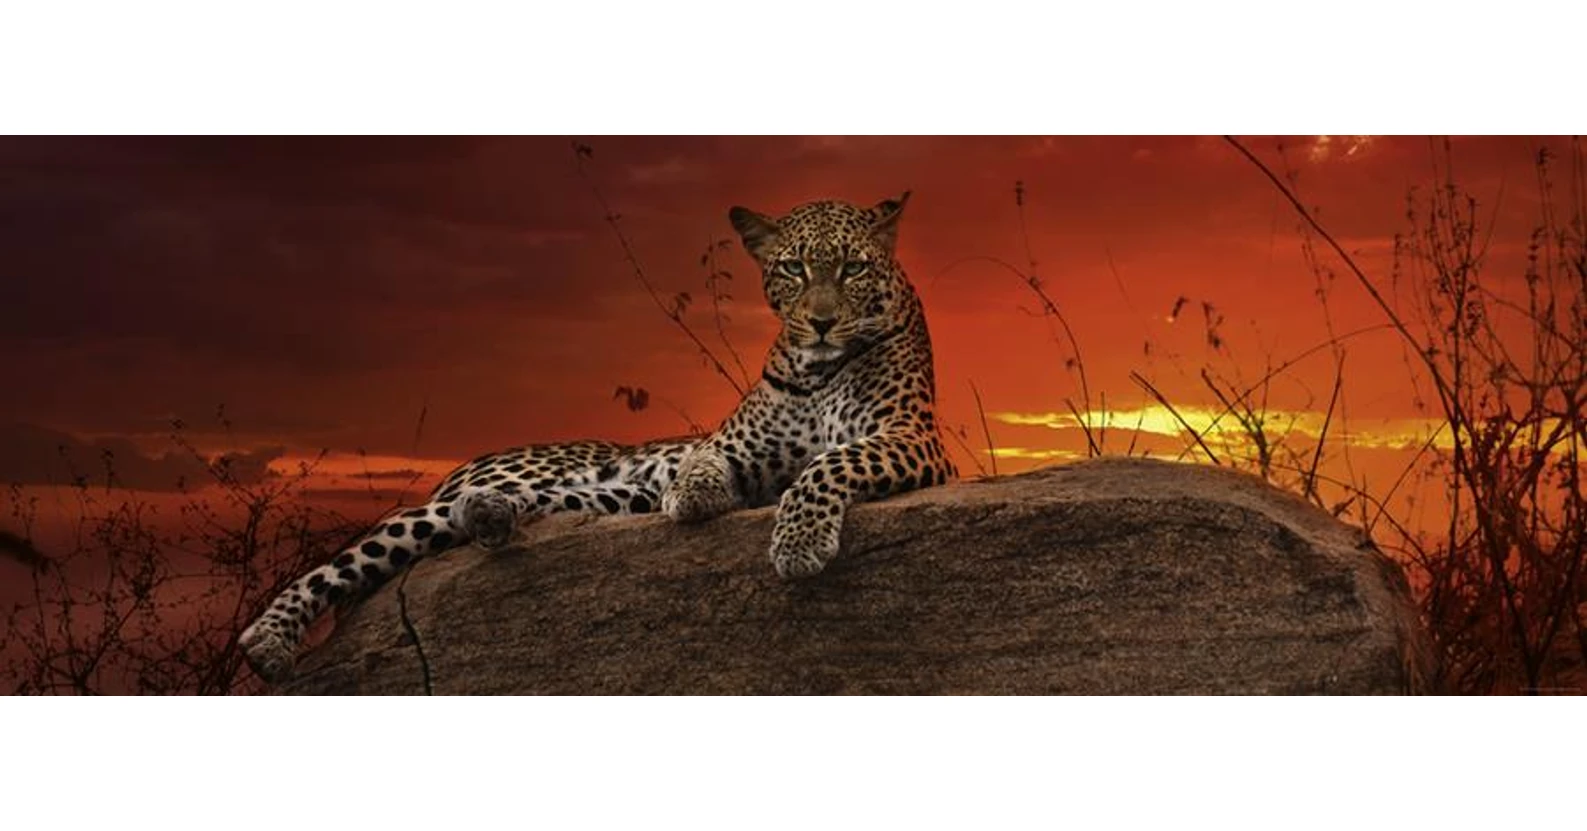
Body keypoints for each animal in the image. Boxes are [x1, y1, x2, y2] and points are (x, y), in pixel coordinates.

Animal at [238, 192, 958, 683]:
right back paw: (267, 639)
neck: (816, 368)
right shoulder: (731, 444)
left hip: (584, 499)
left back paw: (492, 519)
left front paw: (798, 540)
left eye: (854, 268)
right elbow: (704, 460)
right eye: (793, 269)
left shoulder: (909, 438)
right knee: (348, 557)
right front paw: (697, 495)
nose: (822, 323)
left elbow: (829, 463)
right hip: (482, 492)